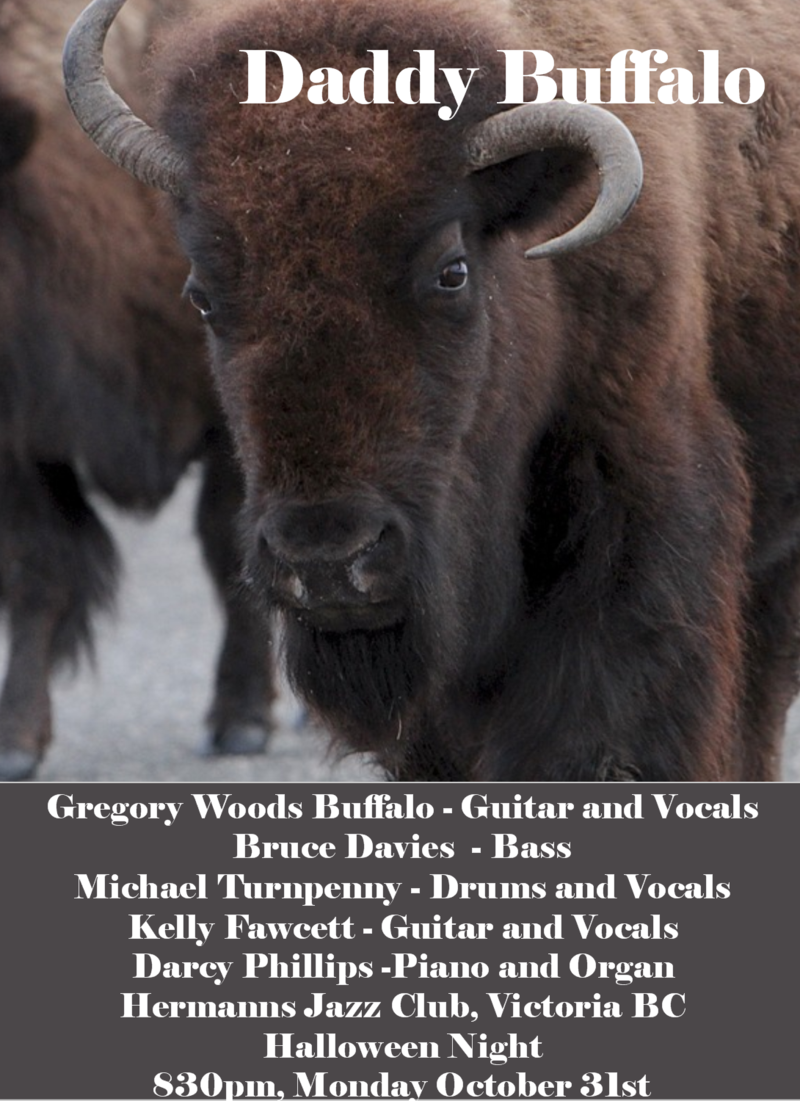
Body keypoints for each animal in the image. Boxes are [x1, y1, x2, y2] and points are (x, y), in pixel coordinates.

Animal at [0, 0, 274, 781]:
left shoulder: (228, 412)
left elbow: (228, 543)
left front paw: (240, 721)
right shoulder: (25, 438)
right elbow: (38, 568)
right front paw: (16, 741)